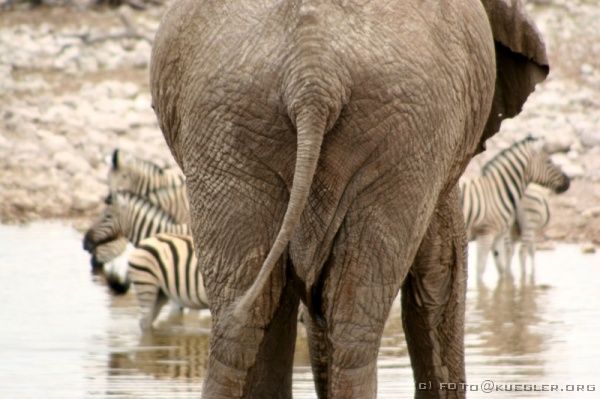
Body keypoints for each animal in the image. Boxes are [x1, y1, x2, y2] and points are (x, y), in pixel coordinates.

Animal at [150, 1, 548, 398]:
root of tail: (312, 76)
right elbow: (442, 268)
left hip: (230, 123)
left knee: (246, 319)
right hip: (400, 130)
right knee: (348, 325)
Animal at [462, 138, 568, 282]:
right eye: (549, 161)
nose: (568, 182)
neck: (497, 191)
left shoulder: (498, 235)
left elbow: (501, 269)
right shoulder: (486, 233)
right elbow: (480, 270)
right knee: (523, 252)